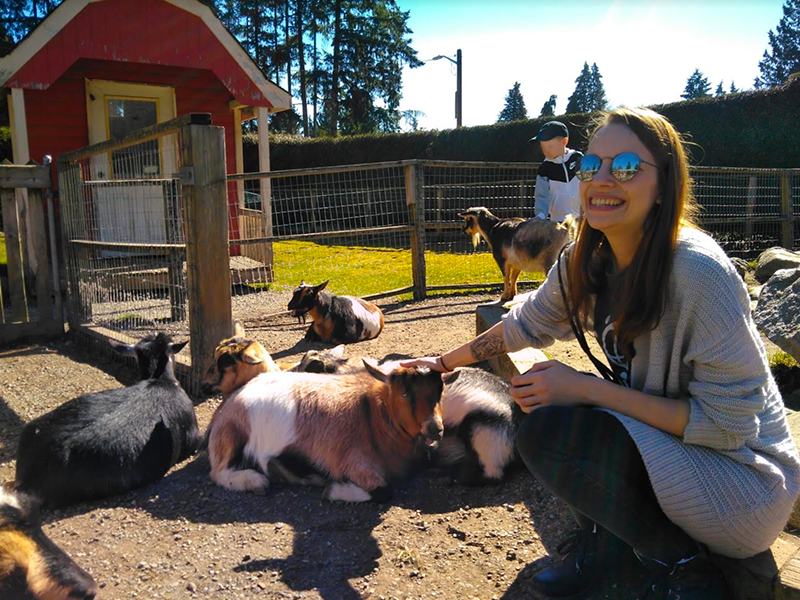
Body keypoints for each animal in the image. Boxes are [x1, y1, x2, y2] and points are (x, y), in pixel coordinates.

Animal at [202, 328, 444, 502]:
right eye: (404, 392)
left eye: (440, 391)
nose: (436, 429)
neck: (372, 413)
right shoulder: (353, 462)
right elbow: (383, 492)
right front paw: (334, 490)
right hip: (232, 434)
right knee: (218, 473)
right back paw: (257, 481)